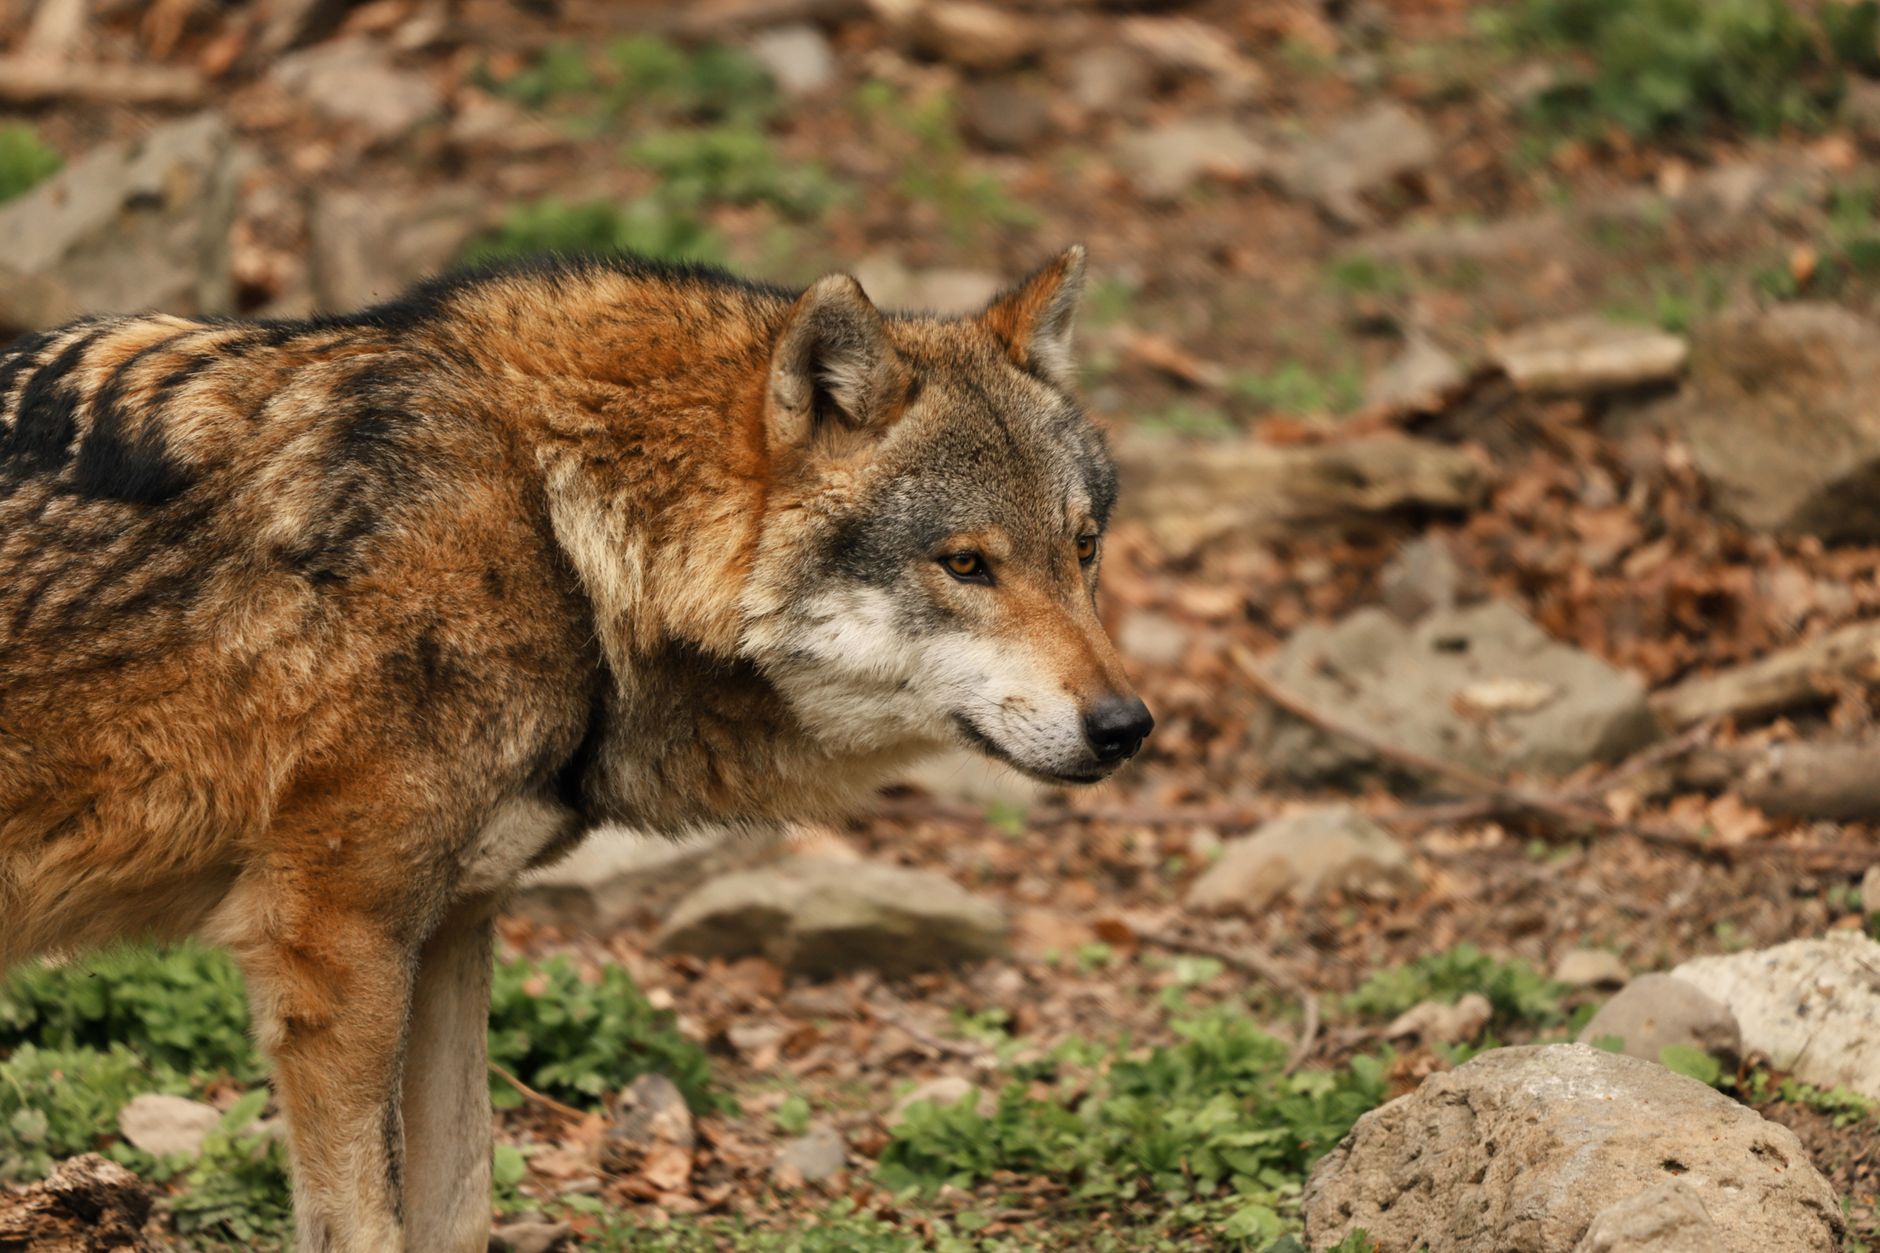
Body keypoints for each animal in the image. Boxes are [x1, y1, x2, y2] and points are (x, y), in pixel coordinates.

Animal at [0, 245, 1151, 1250]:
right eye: (966, 563)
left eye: (1082, 548)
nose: (1126, 725)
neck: (554, 529)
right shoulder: (333, 942)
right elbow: (367, 1225)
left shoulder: (450, 923)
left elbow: (460, 1205)